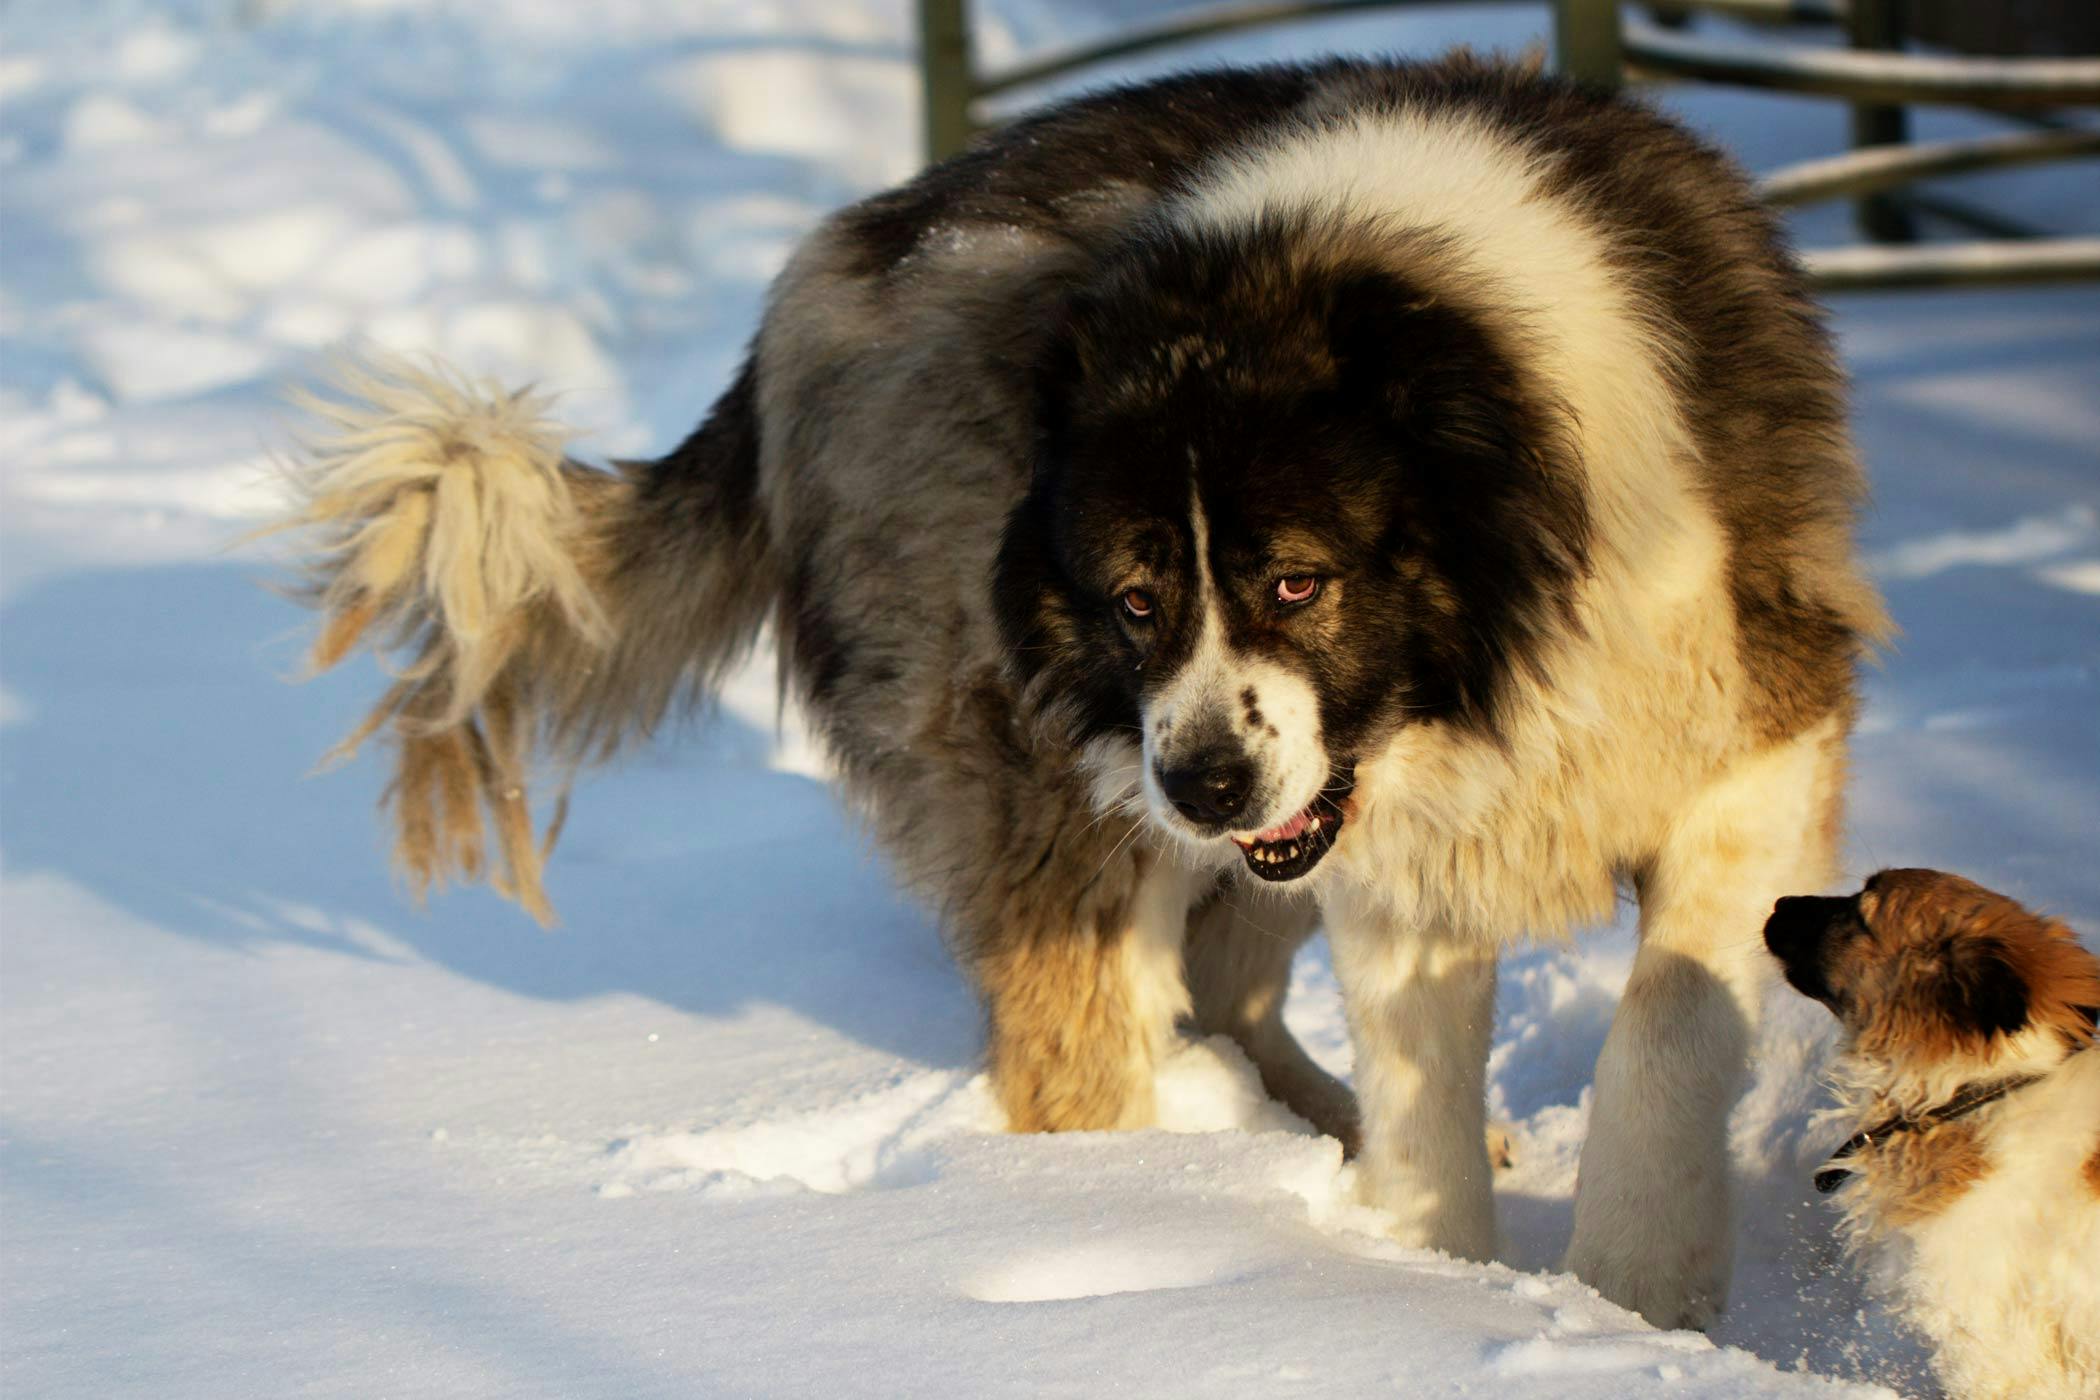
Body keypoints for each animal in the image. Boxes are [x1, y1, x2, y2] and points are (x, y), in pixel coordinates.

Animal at [275, 54, 1889, 1326]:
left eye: (1296, 583)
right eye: (1135, 600)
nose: (1206, 783)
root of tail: (819, 280)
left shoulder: (1744, 732)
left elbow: (1660, 1029)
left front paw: (1616, 1286)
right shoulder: (1375, 832)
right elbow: (1432, 1058)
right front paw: (1457, 1294)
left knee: (1231, 989)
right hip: (1050, 776)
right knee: (1085, 1043)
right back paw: (1133, 1212)